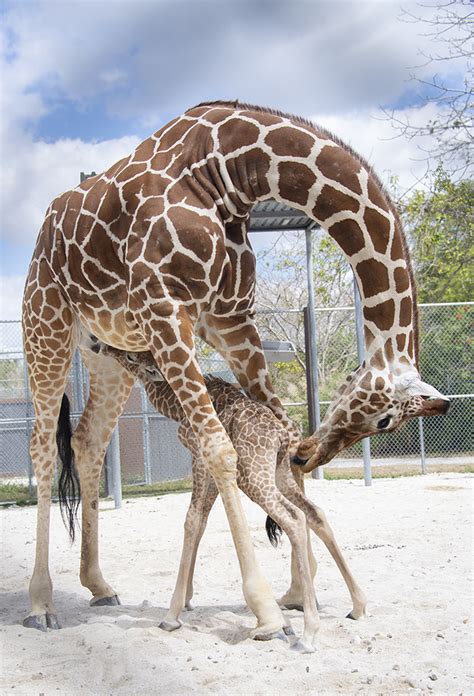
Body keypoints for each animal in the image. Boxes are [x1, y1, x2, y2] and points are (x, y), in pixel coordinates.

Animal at [97, 342, 366, 652]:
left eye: (130, 355)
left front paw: (171, 615)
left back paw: (308, 632)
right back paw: (358, 605)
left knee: (293, 518)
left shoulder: (199, 456)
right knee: (314, 513)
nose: (101, 345)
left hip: (253, 476)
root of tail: (283, 438)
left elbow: (192, 520)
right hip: (279, 475)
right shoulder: (212, 466)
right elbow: (201, 521)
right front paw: (187, 599)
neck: (174, 406)